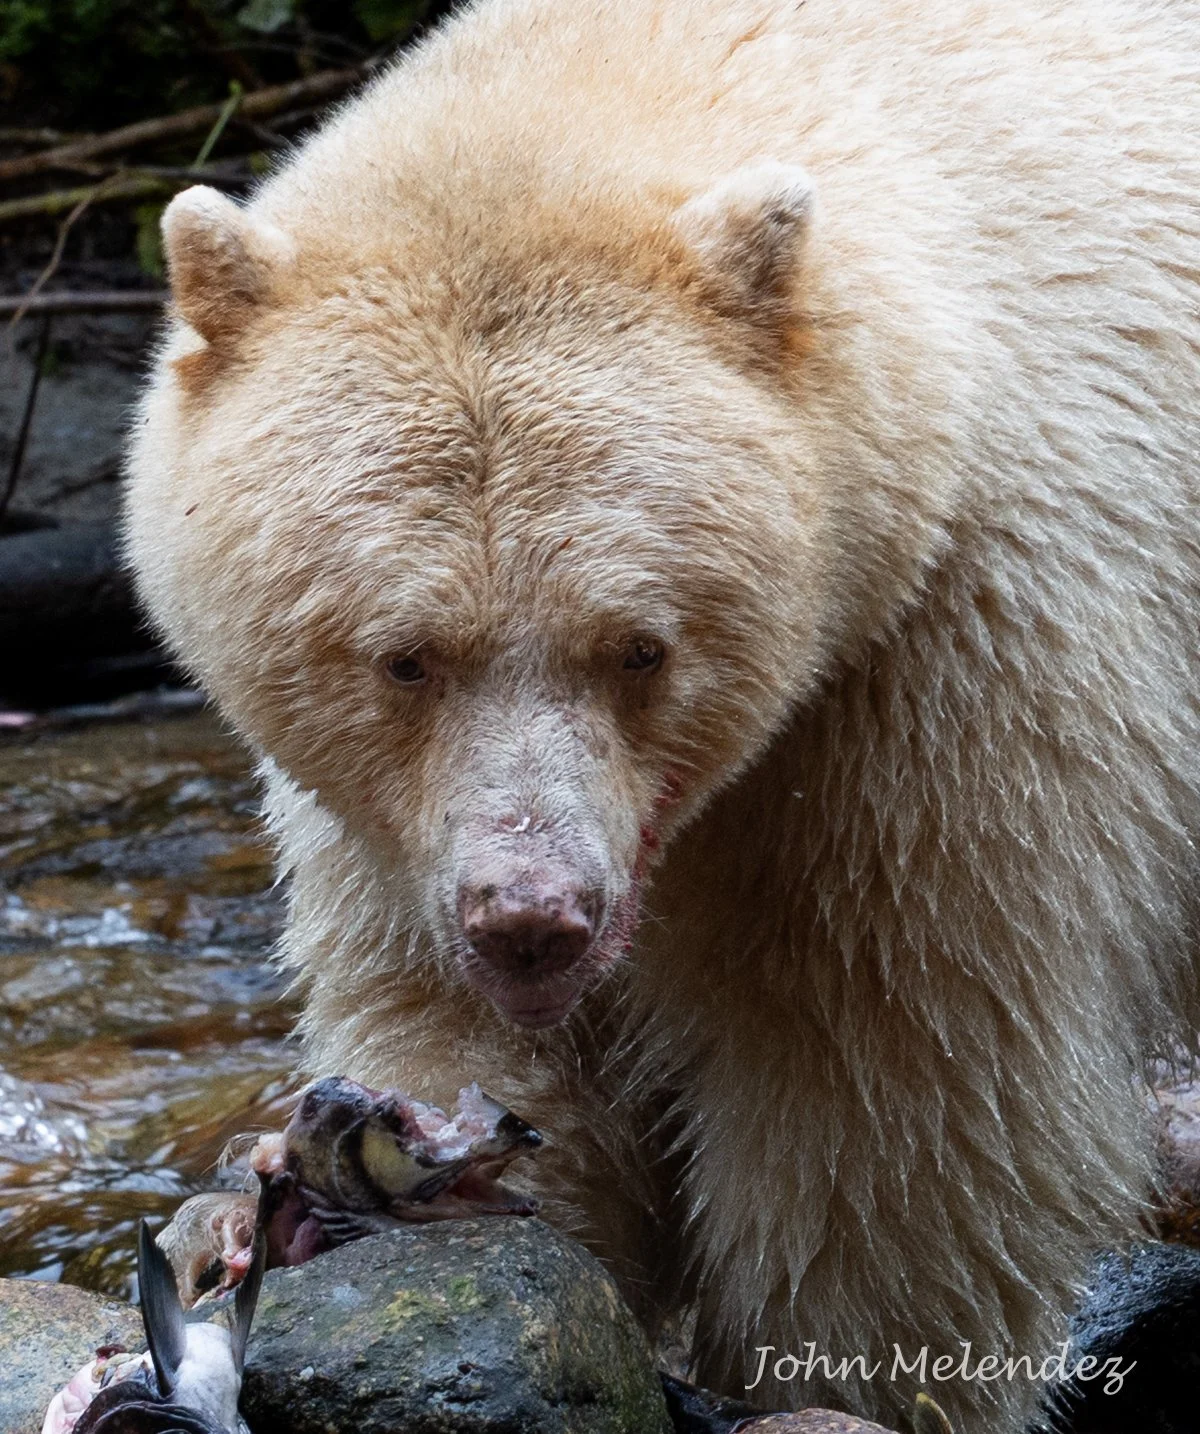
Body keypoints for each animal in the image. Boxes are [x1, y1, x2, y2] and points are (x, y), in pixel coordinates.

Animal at [124, 1, 1200, 1429]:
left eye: (640, 646)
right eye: (405, 658)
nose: (533, 919)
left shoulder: (946, 682)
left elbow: (898, 1098)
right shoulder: (389, 837)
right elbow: (469, 1038)